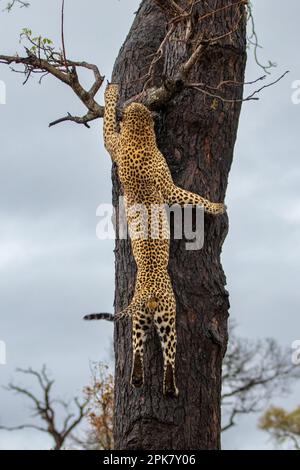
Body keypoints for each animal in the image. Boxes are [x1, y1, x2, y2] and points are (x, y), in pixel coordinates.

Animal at [85, 84, 225, 396]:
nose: (138, 104)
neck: (138, 138)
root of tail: (146, 292)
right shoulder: (168, 186)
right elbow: (190, 197)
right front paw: (217, 206)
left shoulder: (114, 144)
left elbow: (107, 127)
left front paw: (111, 93)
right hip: (167, 316)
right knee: (169, 353)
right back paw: (171, 388)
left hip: (139, 319)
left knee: (137, 348)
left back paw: (137, 379)